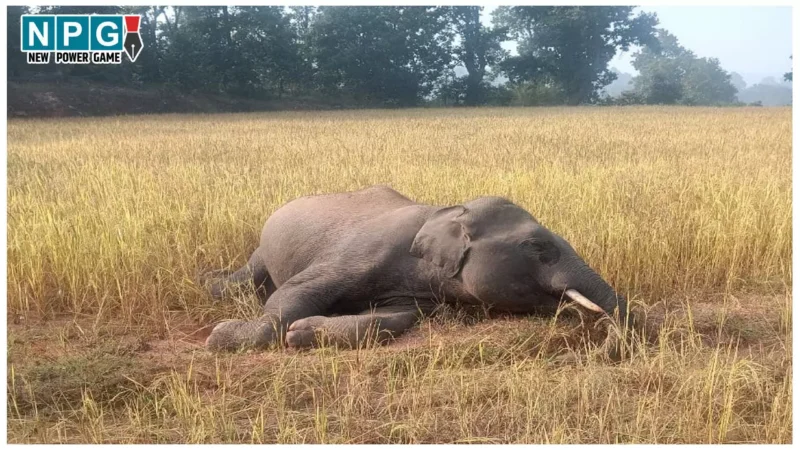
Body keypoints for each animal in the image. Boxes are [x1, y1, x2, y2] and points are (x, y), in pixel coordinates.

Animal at [204, 185, 628, 351]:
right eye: (537, 247)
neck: (448, 211)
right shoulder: (360, 253)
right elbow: (295, 291)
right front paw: (220, 337)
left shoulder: (418, 290)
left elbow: (396, 317)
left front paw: (303, 333)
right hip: (263, 250)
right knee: (251, 276)